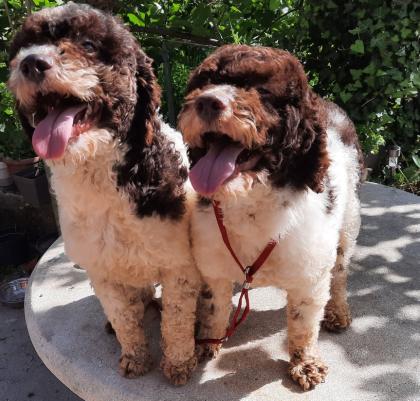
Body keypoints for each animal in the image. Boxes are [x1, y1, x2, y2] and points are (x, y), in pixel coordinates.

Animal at [8, 3, 201, 384]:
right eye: (25, 46)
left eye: (87, 44)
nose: (31, 63)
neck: (100, 172)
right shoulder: (104, 272)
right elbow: (124, 318)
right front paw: (135, 356)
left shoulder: (179, 267)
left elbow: (176, 321)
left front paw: (178, 364)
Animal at [177, 44, 360, 390]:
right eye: (204, 83)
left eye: (262, 91)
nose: (207, 101)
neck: (251, 205)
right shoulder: (213, 268)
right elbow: (214, 307)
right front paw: (207, 343)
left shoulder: (309, 278)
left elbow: (303, 326)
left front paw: (305, 363)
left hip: (349, 222)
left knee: (341, 273)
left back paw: (338, 312)